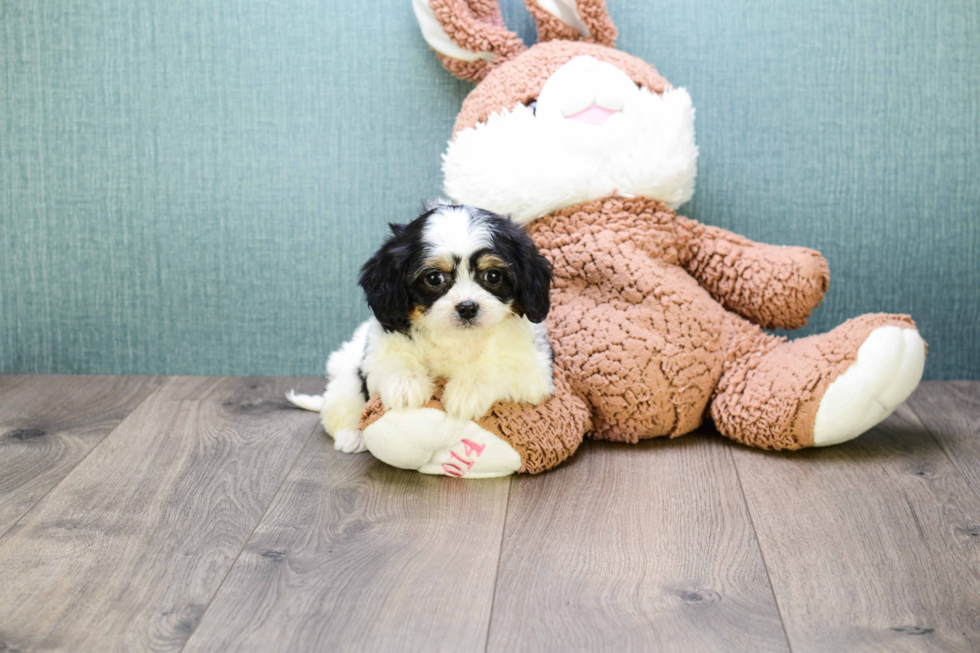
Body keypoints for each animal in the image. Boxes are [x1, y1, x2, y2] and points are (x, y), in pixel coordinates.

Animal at [288, 201, 556, 450]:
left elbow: (498, 367)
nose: (467, 307)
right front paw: (406, 385)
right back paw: (351, 436)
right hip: (344, 375)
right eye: (434, 278)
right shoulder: (381, 346)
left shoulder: (534, 369)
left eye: (493, 276)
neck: (457, 339)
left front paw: (467, 391)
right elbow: (394, 358)